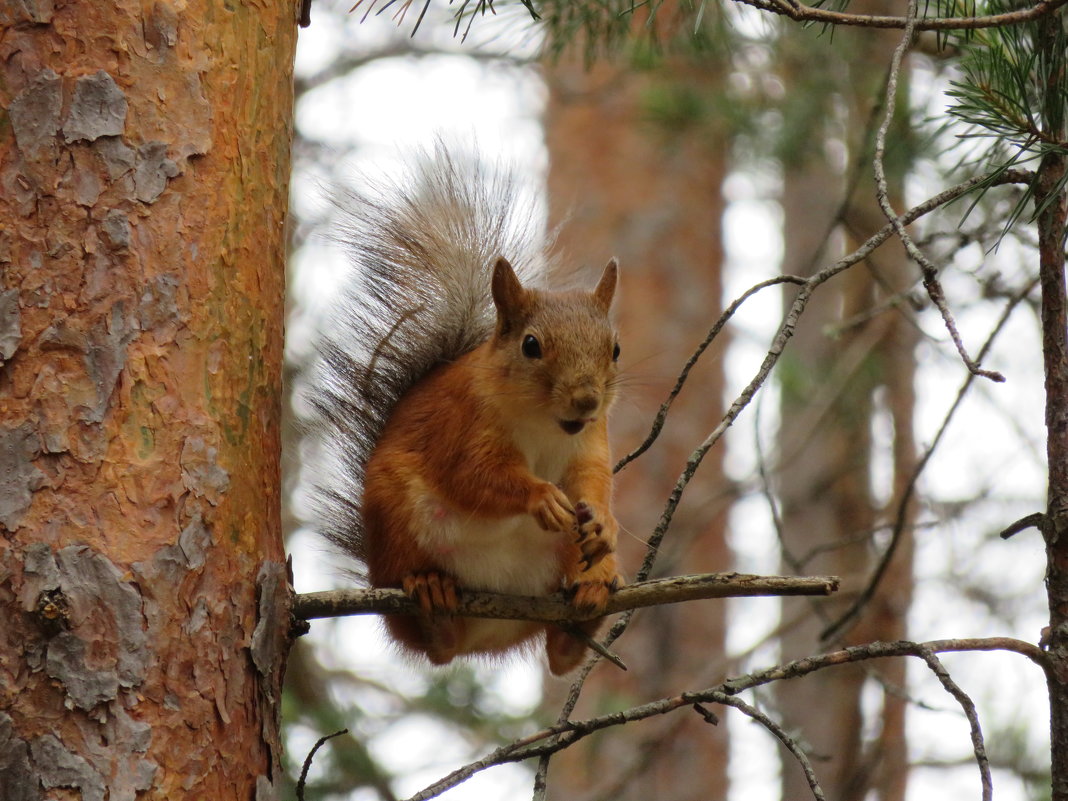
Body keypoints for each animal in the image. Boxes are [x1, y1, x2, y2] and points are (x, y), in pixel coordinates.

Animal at [307, 150, 623, 679]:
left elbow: (594, 481)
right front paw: (541, 496)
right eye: (531, 345)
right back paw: (431, 593)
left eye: (615, 348)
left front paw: (604, 523)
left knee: (561, 654)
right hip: (397, 523)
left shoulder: (591, 442)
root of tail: (484, 638)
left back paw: (593, 592)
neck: (544, 426)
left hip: (559, 565)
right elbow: (475, 475)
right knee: (431, 641)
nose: (586, 400)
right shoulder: (464, 426)